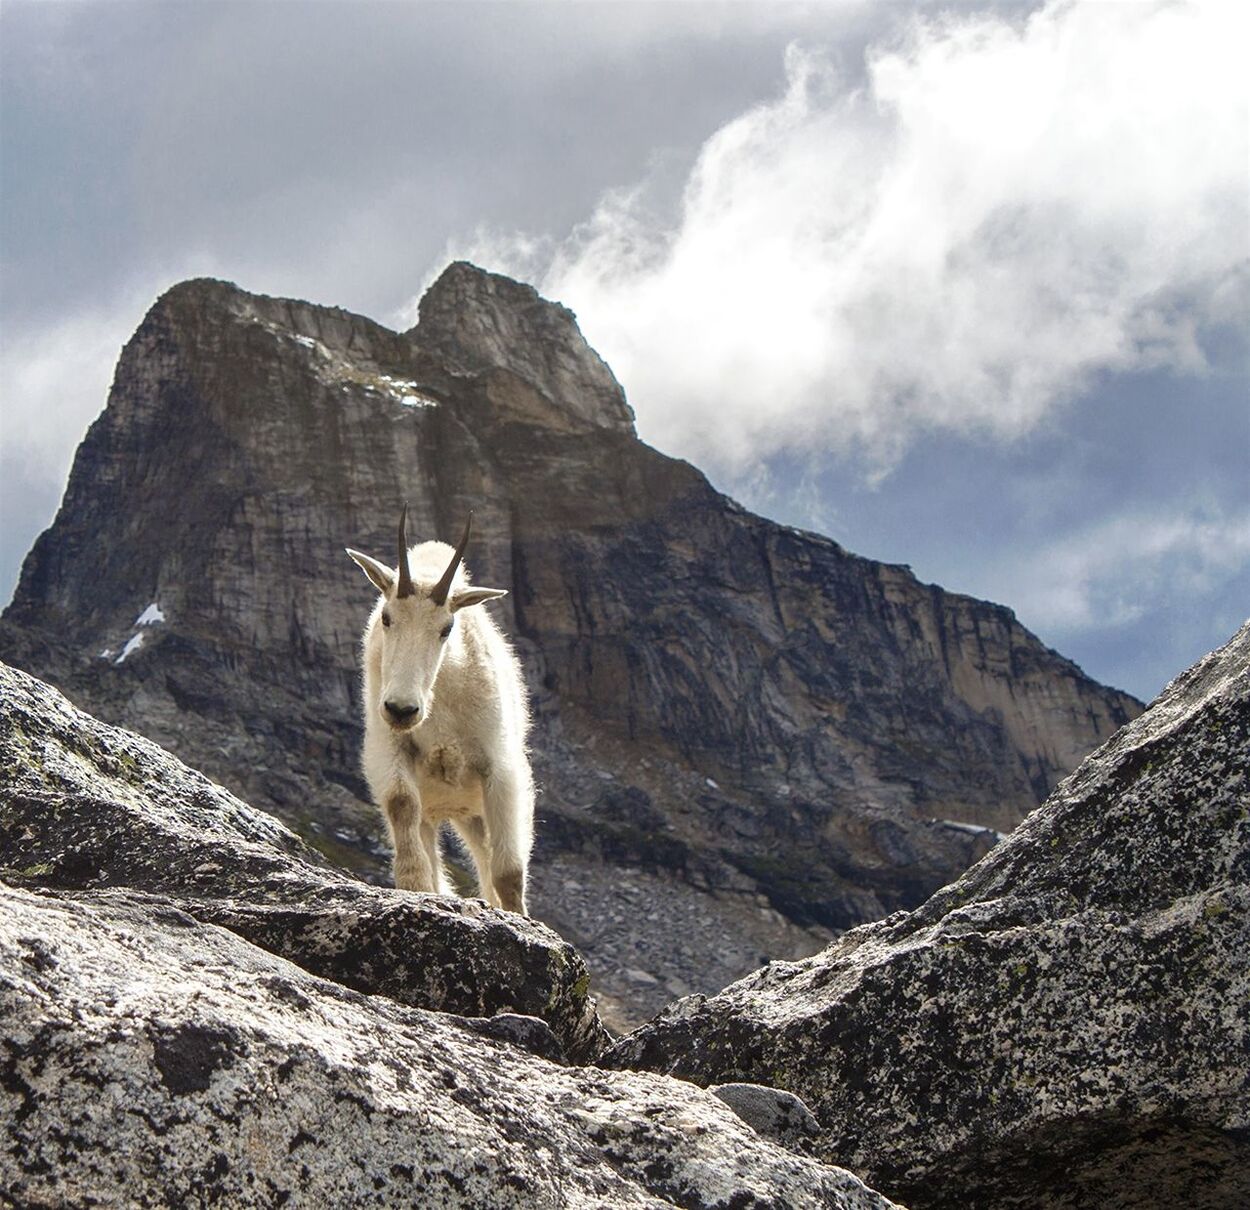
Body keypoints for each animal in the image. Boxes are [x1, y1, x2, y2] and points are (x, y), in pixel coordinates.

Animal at [345, 505, 535, 910]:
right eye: (386, 618)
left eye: (447, 628)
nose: (402, 709)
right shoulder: (389, 745)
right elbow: (401, 804)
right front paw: (415, 886)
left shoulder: (500, 769)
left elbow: (508, 873)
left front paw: (520, 917)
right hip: (445, 812)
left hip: (480, 810)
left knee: (488, 860)